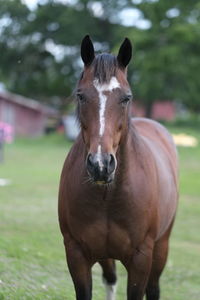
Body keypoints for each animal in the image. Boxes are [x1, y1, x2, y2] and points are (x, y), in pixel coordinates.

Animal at [58, 35, 178, 300]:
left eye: (126, 98)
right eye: (81, 95)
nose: (100, 165)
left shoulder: (141, 259)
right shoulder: (76, 254)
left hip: (161, 247)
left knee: (153, 289)